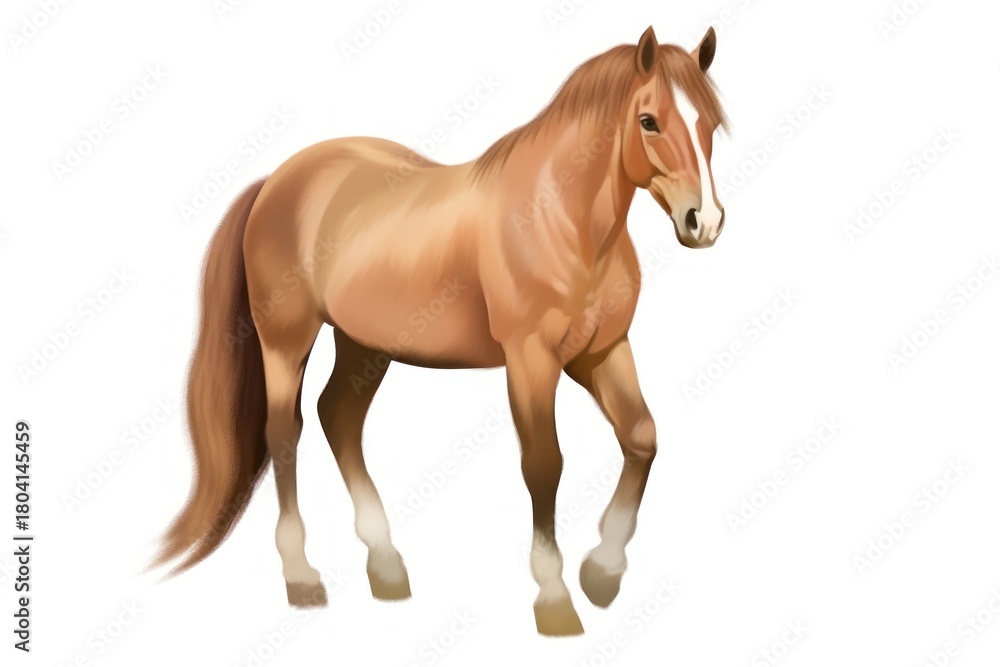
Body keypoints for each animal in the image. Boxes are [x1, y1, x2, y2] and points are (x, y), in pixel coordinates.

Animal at [157, 25, 729, 636]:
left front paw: (602, 572)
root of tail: (277, 181)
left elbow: (641, 438)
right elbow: (544, 463)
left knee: (339, 419)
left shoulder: (601, 353)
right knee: (285, 433)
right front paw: (553, 597)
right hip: (286, 339)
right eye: (649, 121)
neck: (561, 222)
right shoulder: (531, 360)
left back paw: (385, 565)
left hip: (364, 346)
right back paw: (302, 577)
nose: (704, 221)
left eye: (709, 123)